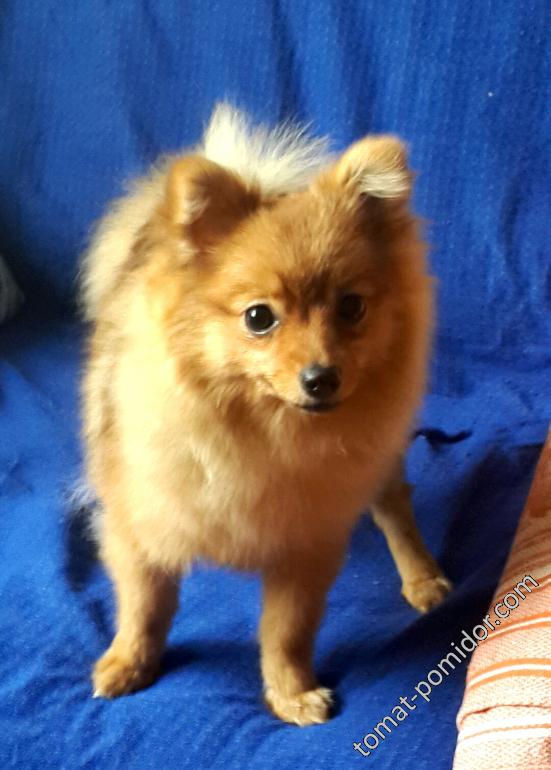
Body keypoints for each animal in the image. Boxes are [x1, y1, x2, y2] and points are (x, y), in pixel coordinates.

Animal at [81, 104, 450, 725]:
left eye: (351, 307)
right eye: (259, 318)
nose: (322, 377)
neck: (261, 434)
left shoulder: (304, 544)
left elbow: (286, 631)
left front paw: (292, 693)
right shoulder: (139, 526)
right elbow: (144, 607)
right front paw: (128, 663)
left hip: (382, 463)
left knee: (395, 505)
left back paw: (422, 577)